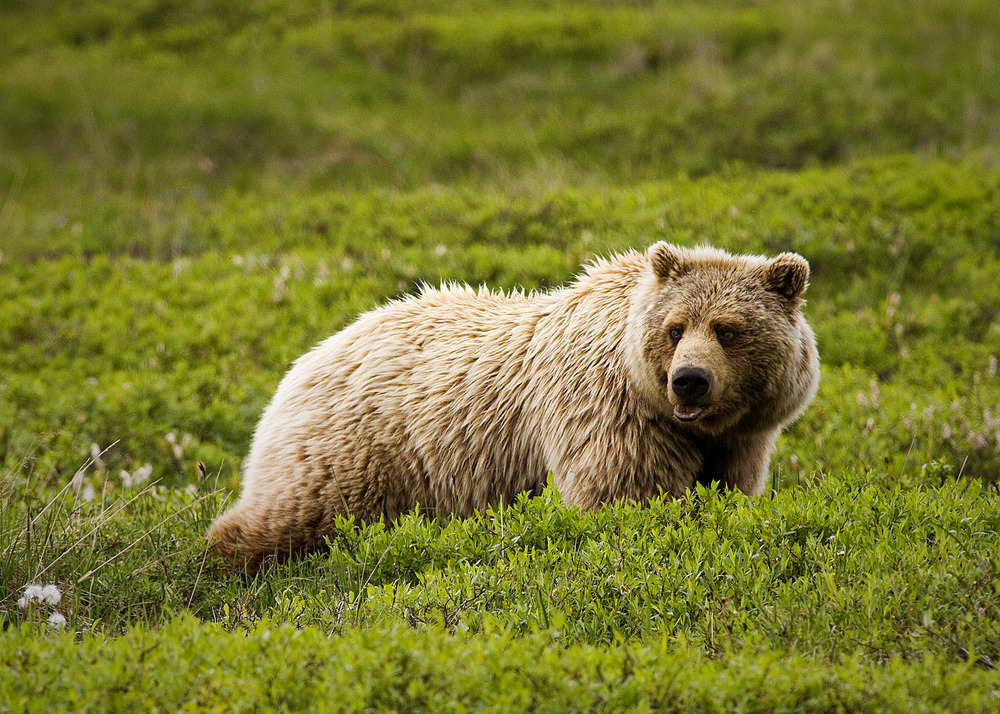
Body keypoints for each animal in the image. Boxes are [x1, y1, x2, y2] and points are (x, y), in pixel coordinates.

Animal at [207, 242, 819, 571]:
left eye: (729, 330)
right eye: (675, 329)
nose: (689, 381)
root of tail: (308, 356)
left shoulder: (739, 440)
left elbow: (726, 487)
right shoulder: (611, 413)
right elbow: (625, 496)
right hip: (356, 448)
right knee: (293, 513)